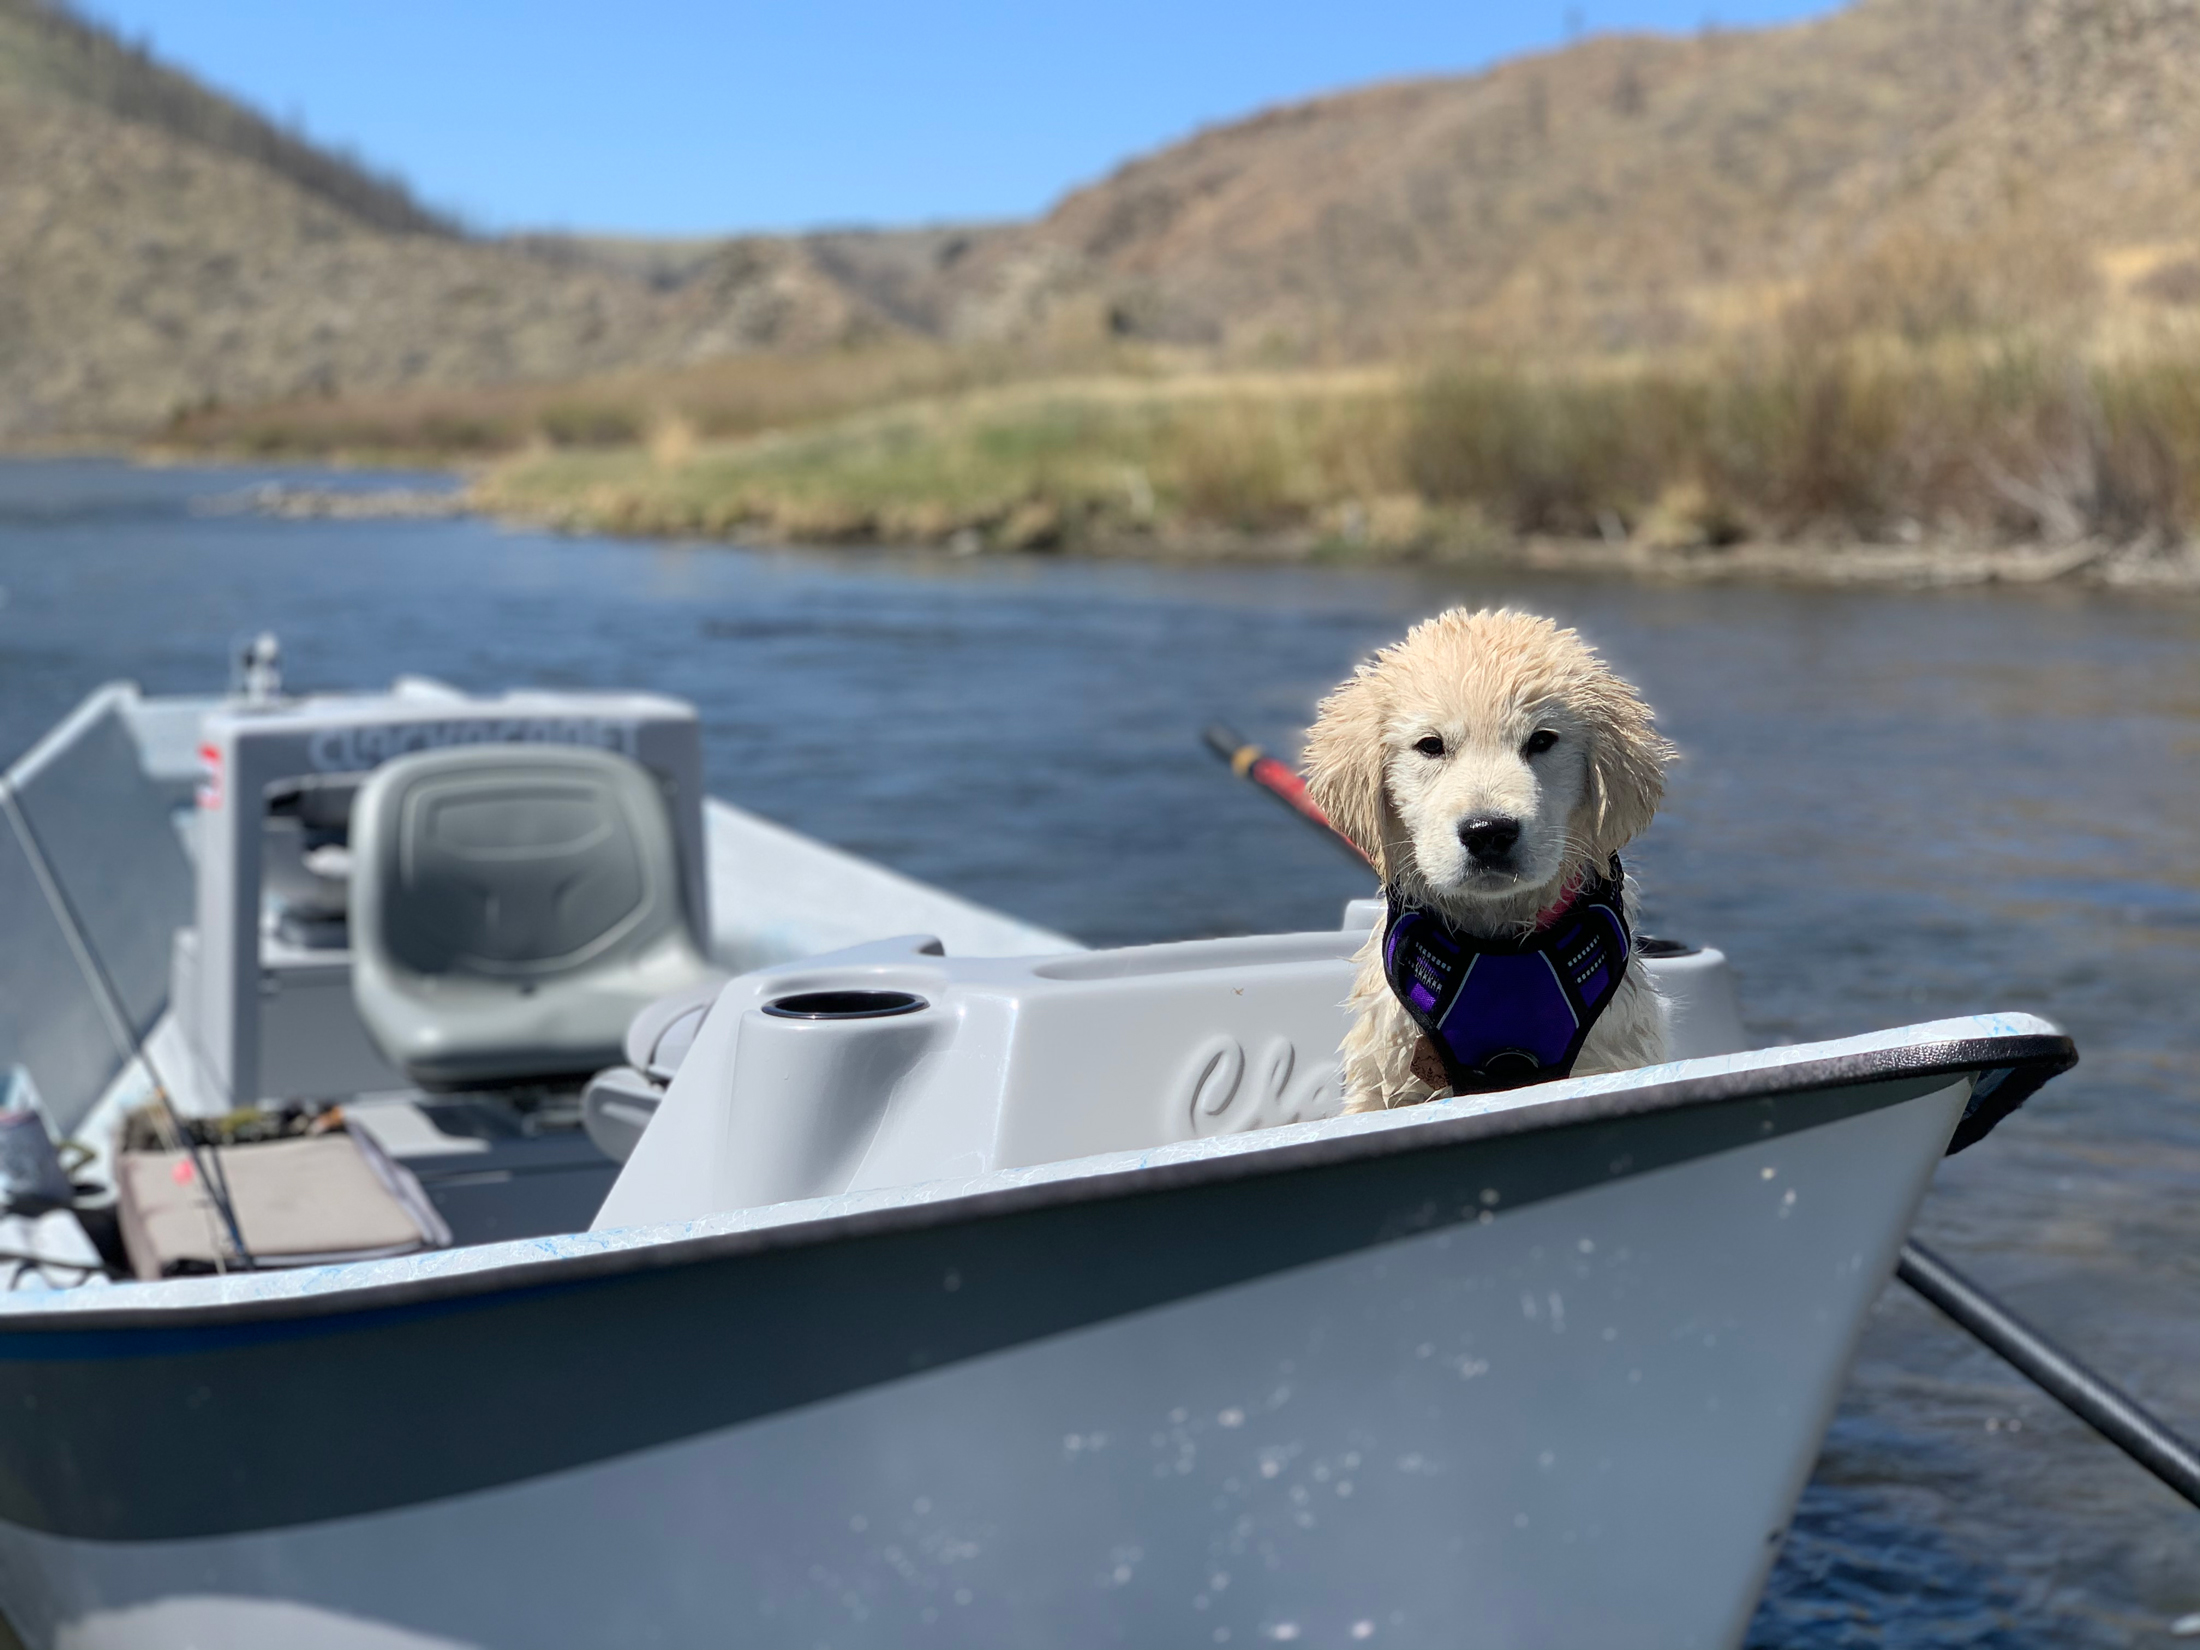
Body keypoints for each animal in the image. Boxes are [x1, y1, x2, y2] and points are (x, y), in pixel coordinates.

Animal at [1302, 616, 1663, 1117]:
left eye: (1541, 741)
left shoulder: (1609, 1049)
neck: (1498, 938)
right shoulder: (1387, 1067)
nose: (1488, 832)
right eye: (1430, 745)